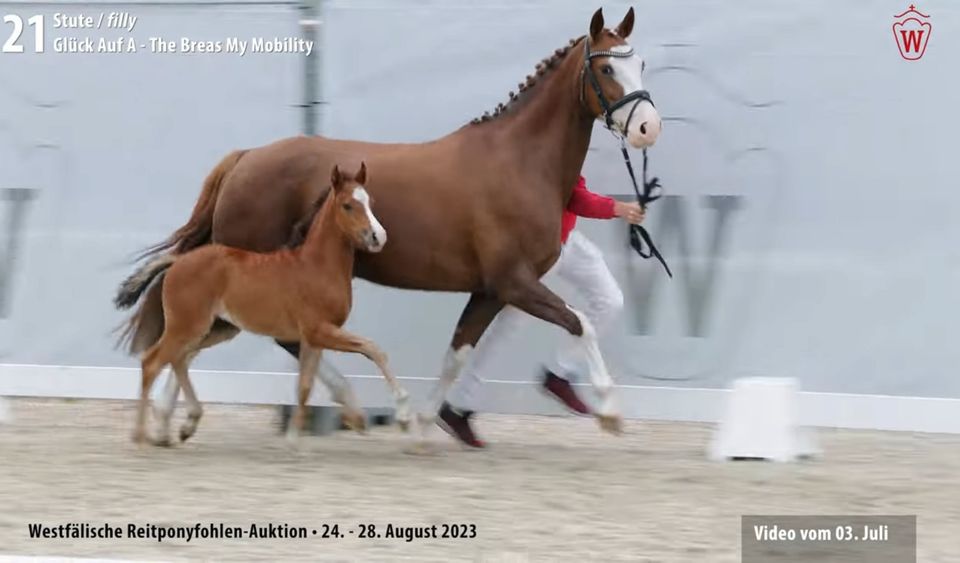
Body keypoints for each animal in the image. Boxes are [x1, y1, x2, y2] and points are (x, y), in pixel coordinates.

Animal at [129, 164, 410, 450]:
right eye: (348, 205)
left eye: (370, 202)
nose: (378, 237)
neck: (316, 266)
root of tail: (178, 261)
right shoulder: (319, 331)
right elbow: (373, 350)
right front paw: (404, 416)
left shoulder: (313, 339)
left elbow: (305, 386)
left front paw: (294, 441)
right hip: (187, 326)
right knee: (152, 362)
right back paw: (140, 436)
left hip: (212, 330)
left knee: (178, 359)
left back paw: (184, 424)